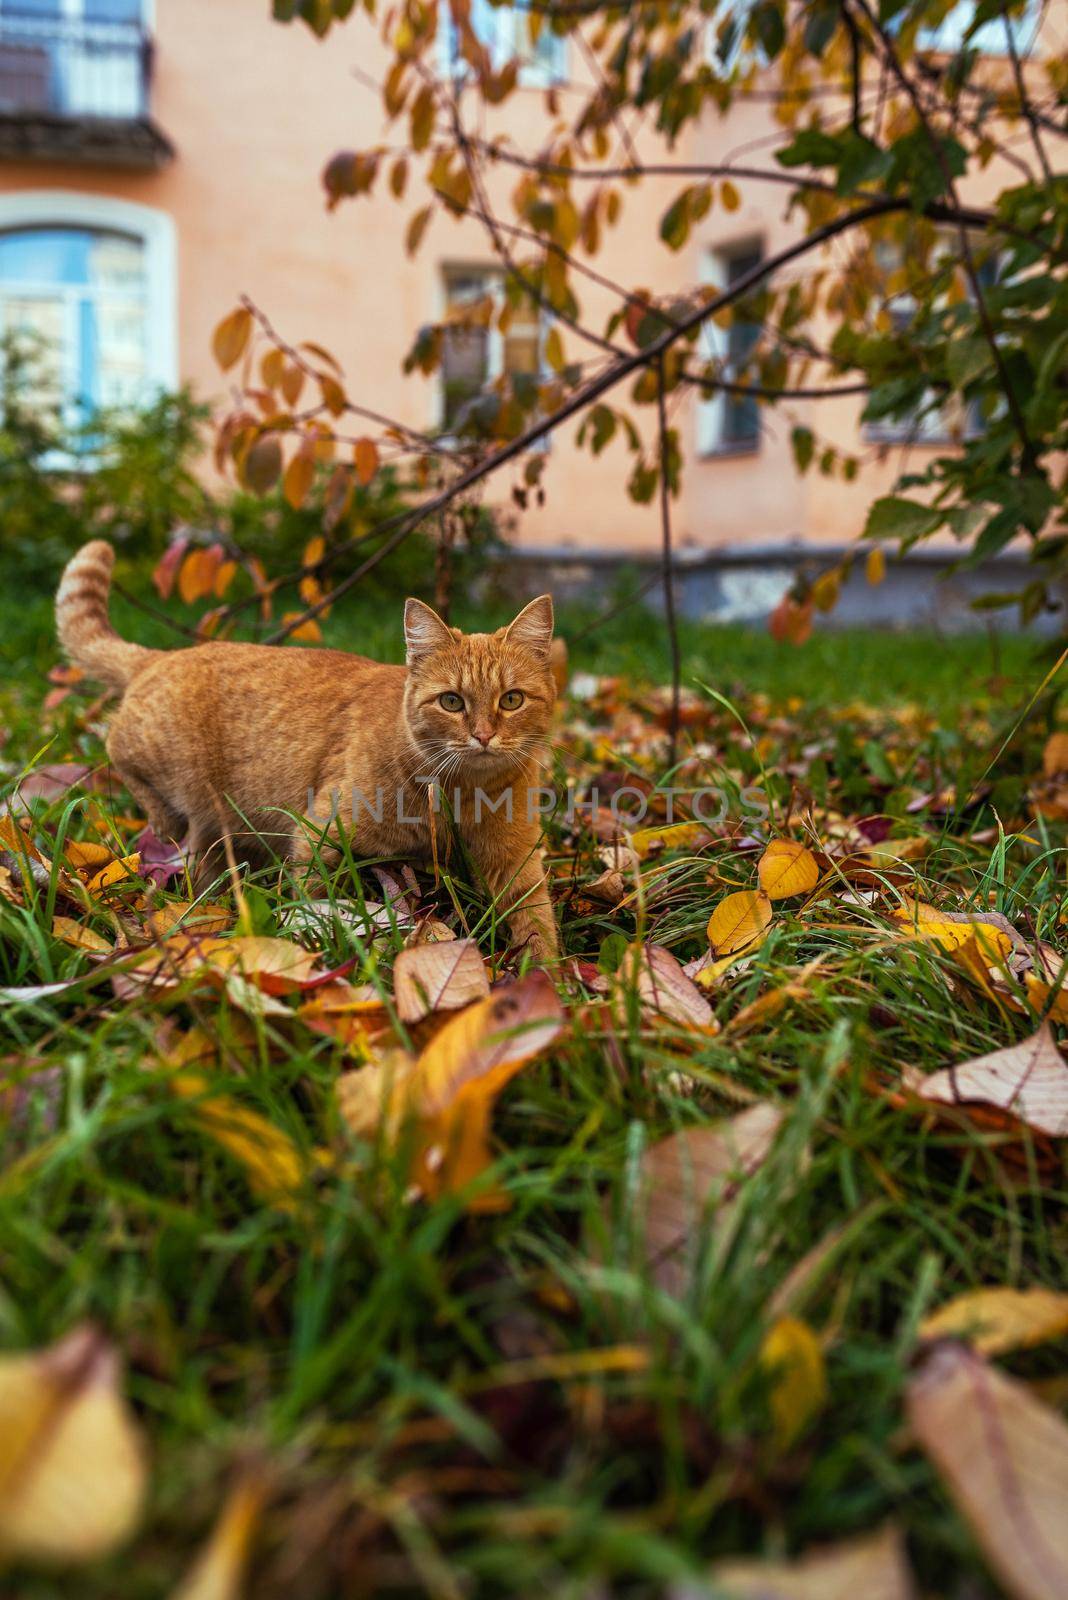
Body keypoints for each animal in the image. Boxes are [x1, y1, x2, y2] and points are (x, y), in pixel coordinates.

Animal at [53, 537, 559, 960]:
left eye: (511, 700)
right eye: (452, 702)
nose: (484, 735)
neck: (458, 798)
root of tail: (167, 655)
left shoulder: (515, 863)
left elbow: (537, 924)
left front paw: (548, 980)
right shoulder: (323, 835)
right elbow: (313, 895)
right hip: (172, 774)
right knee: (119, 752)